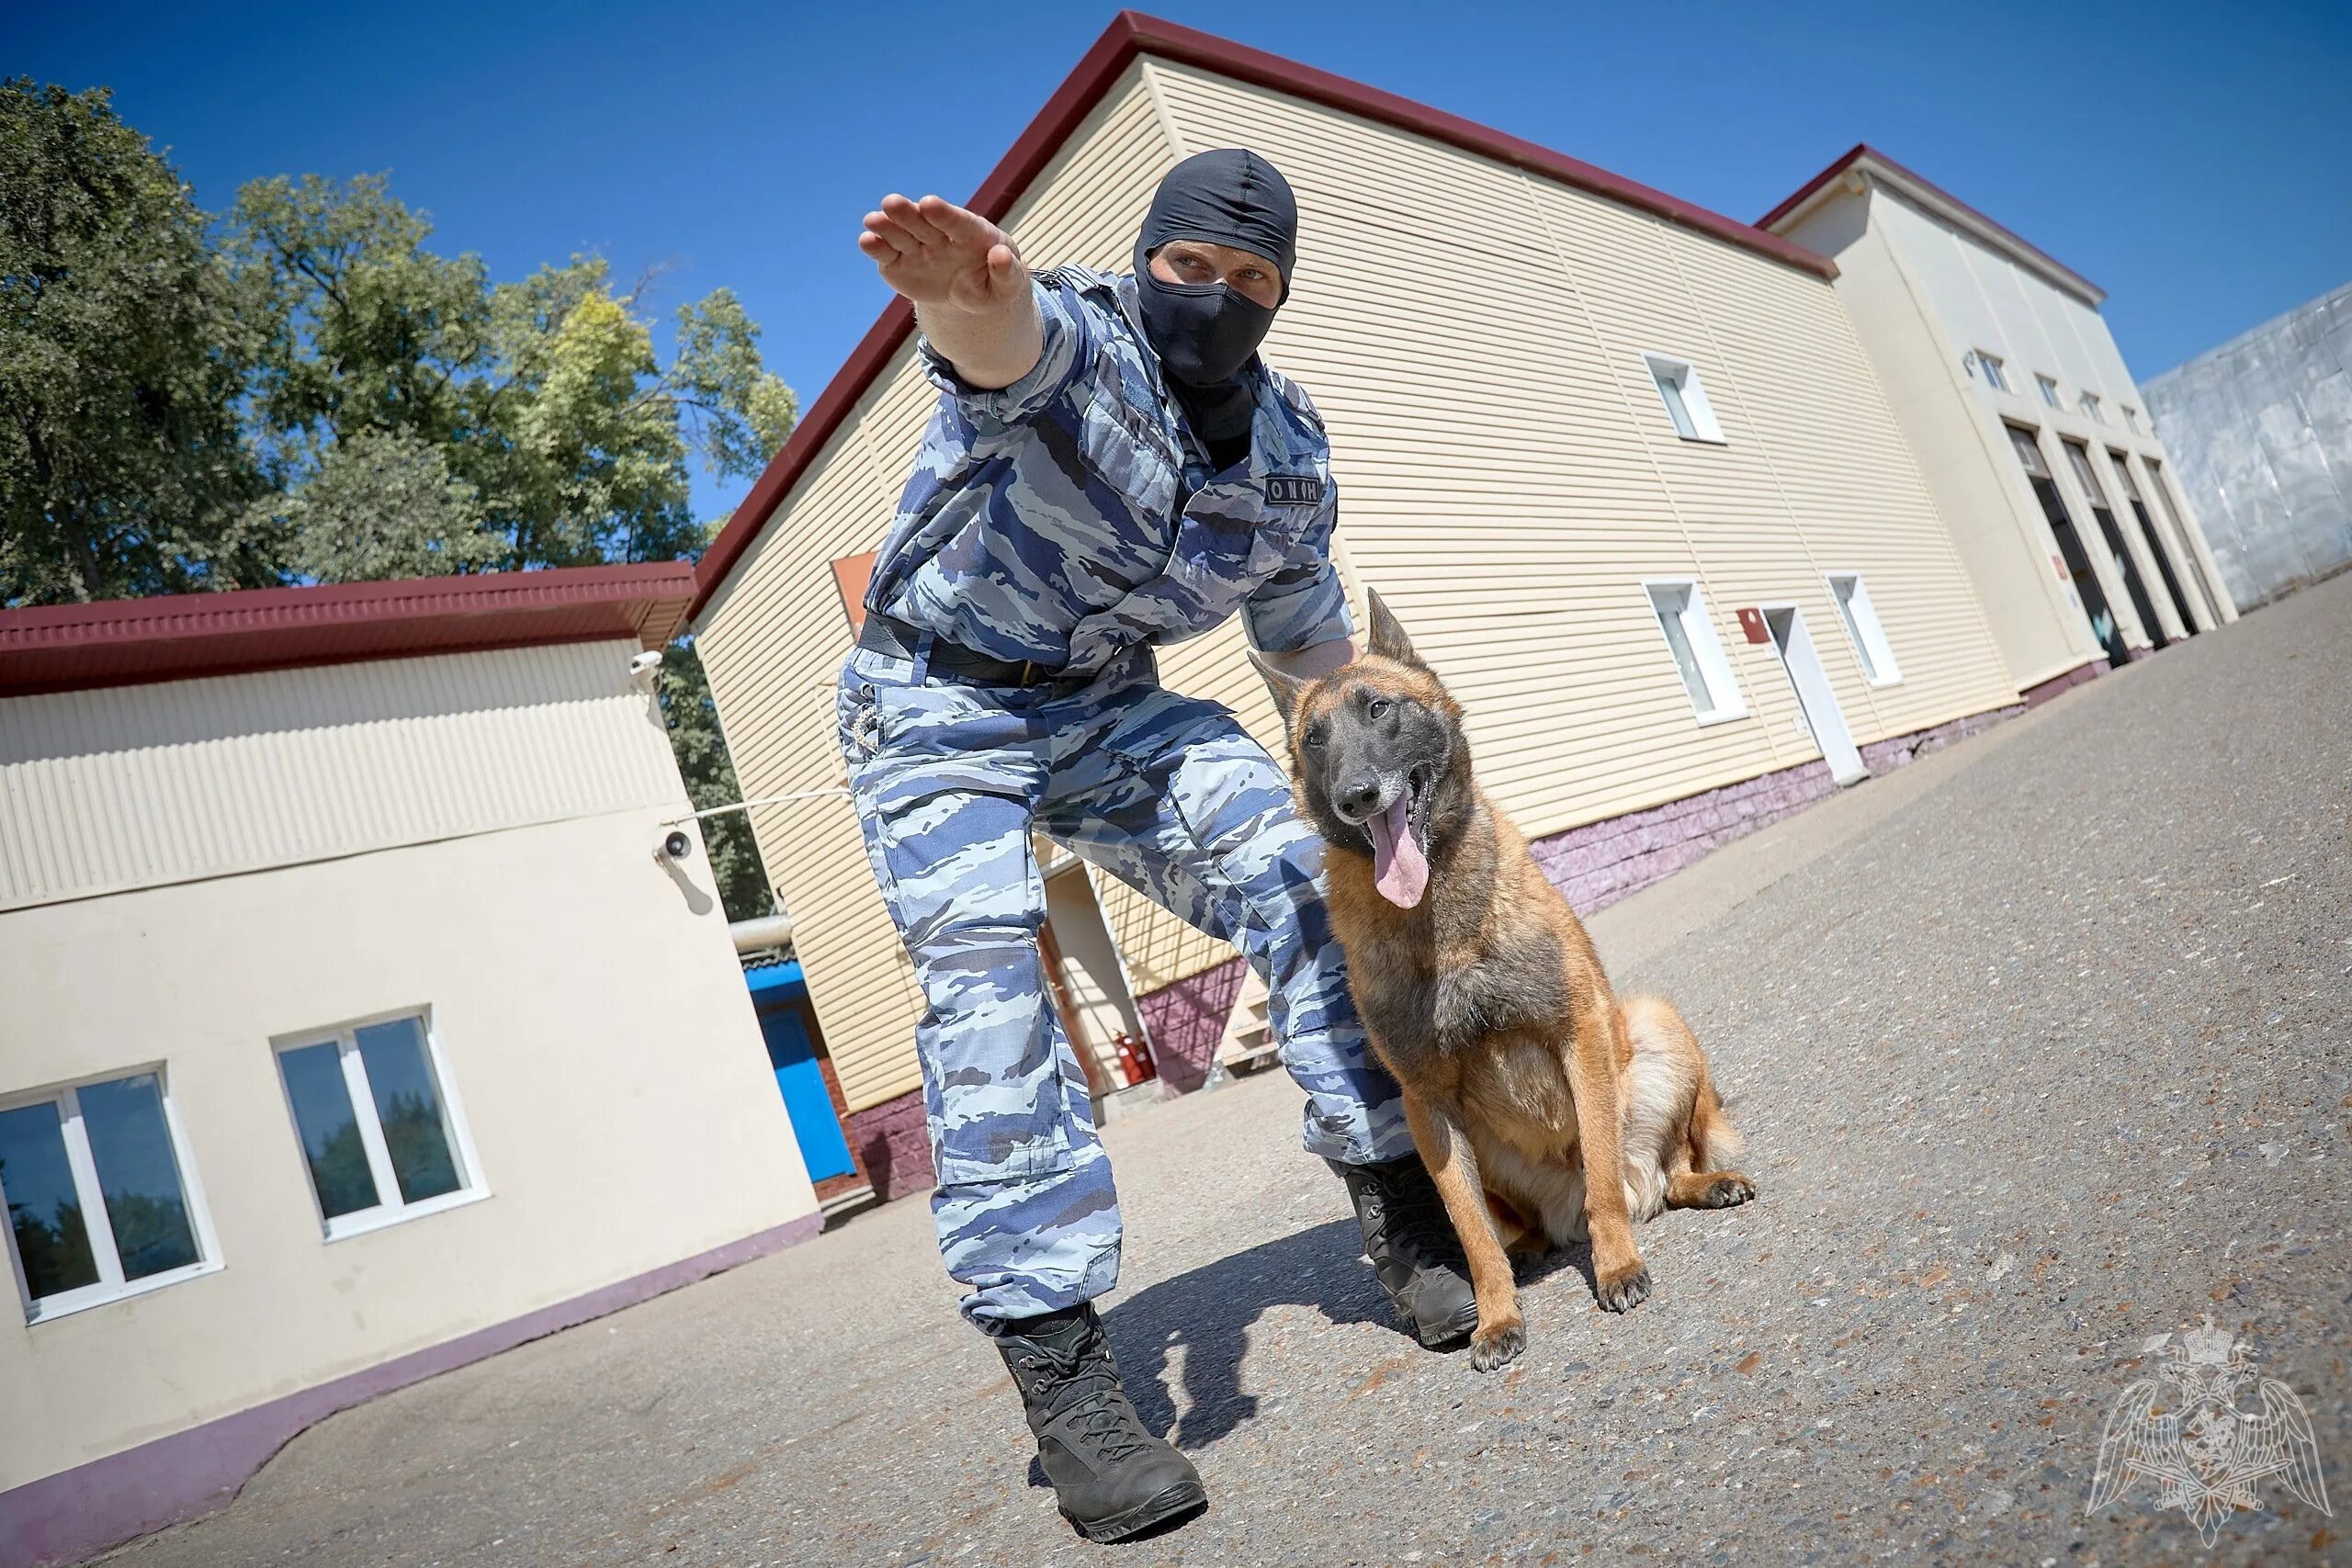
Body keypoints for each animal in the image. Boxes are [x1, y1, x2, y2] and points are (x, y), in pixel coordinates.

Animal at [1261, 594, 1758, 1363]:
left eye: (1379, 708)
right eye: (1315, 738)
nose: (1355, 796)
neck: (1437, 917)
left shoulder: (1578, 1034)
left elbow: (1601, 1174)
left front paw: (1617, 1265)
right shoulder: (1427, 1106)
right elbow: (1470, 1232)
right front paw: (1497, 1316)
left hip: (1653, 1021)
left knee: (1661, 1173)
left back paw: (1703, 1185)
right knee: (1522, 1229)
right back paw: (1525, 1252)